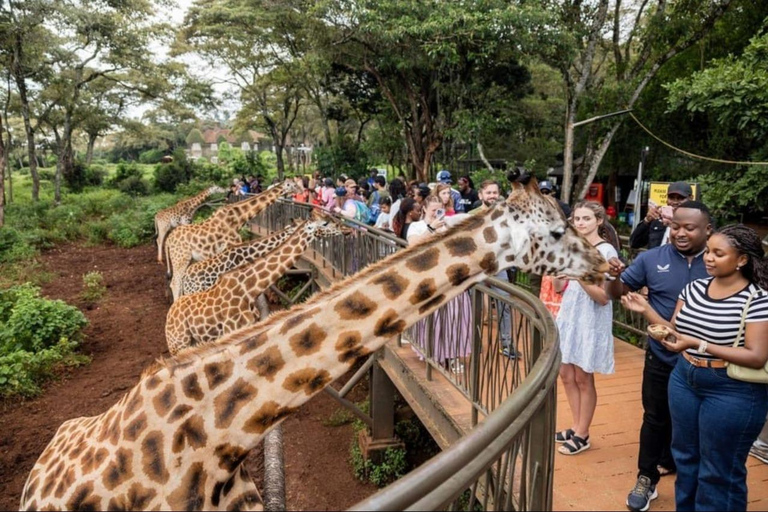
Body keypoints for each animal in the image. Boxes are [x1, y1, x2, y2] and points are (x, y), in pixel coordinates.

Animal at [165, 181, 300, 302]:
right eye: (293, 184)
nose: (299, 189)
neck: (238, 217)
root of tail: (168, 241)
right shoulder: (233, 244)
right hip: (180, 258)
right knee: (175, 282)